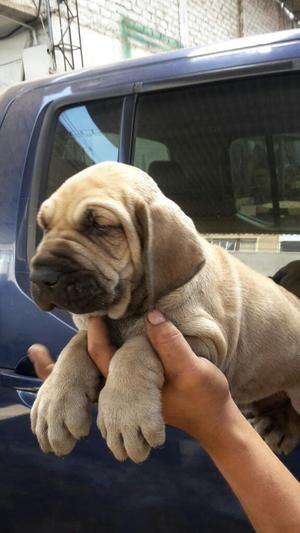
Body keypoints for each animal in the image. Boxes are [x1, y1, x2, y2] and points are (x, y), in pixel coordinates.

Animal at [29, 162, 300, 462]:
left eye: (101, 226)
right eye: (45, 226)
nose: (41, 277)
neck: (131, 309)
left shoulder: (207, 343)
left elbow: (139, 345)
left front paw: (125, 413)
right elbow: (76, 345)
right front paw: (54, 401)